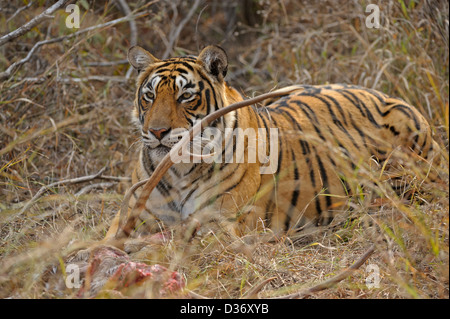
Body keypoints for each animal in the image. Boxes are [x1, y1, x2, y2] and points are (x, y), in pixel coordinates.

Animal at [103, 45, 440, 244]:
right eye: (149, 95)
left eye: (186, 96)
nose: (158, 131)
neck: (179, 172)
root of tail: (382, 92)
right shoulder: (132, 217)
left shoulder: (220, 226)